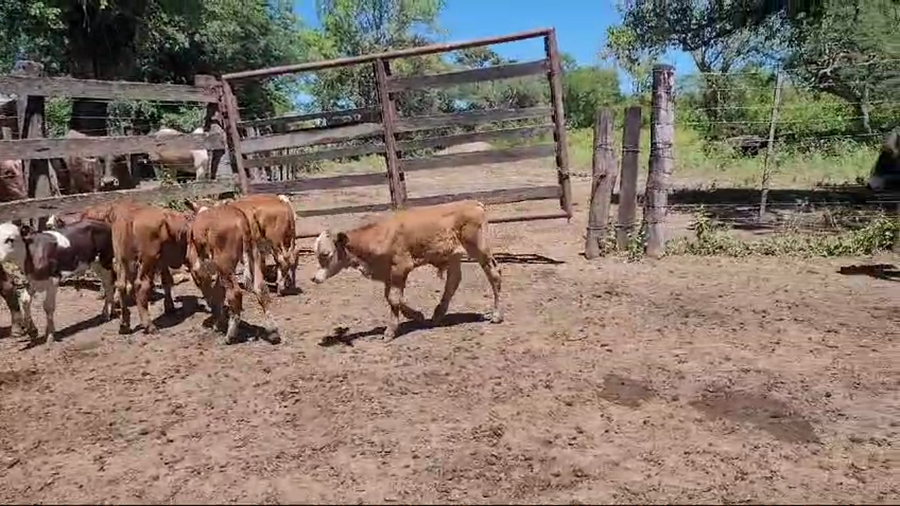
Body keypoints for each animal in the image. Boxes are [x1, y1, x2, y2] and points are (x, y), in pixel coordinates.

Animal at [186, 203, 274, 343]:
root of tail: (240, 219)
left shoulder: (197, 267)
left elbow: (210, 291)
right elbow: (219, 292)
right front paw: (218, 322)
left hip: (224, 263)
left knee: (235, 293)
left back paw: (230, 335)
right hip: (253, 255)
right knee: (261, 288)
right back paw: (272, 331)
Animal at [311, 200, 503, 340]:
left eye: (326, 253)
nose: (314, 279)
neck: (378, 236)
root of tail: (474, 203)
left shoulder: (400, 267)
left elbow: (394, 298)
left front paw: (390, 331)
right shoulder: (388, 273)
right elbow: (392, 297)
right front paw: (417, 316)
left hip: (480, 249)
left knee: (494, 275)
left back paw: (496, 315)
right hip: (454, 255)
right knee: (453, 281)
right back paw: (437, 315)